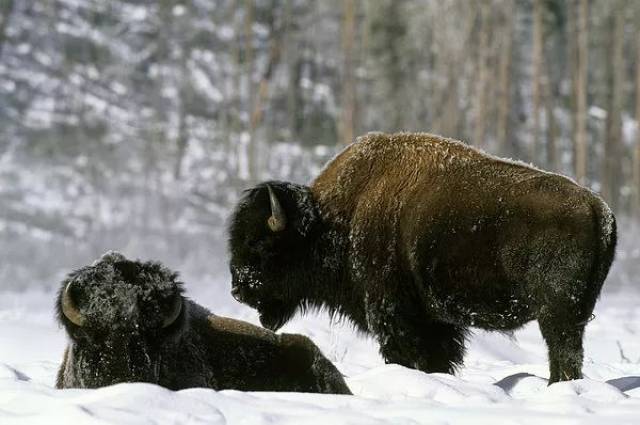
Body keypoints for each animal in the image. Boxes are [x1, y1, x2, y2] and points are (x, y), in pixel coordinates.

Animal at [229, 132, 616, 380]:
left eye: (260, 244)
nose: (237, 289)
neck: (333, 219)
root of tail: (598, 209)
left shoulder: (395, 315)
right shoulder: (436, 322)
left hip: (557, 315)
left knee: (562, 353)